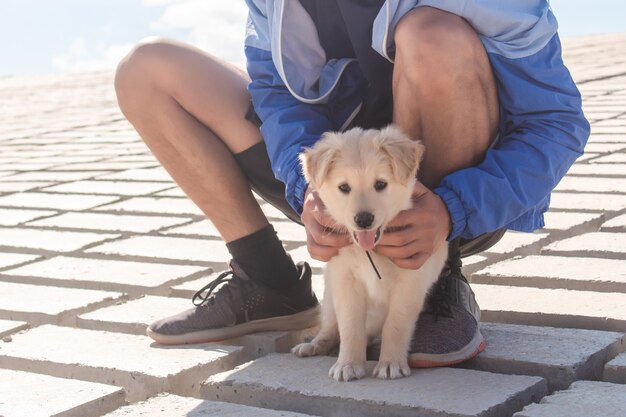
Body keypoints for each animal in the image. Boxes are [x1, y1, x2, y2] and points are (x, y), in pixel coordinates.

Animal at [290, 124, 446, 380]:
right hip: (329, 293)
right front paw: (348, 364)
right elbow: (350, 328)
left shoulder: (409, 284)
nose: (363, 220)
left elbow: (395, 325)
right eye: (344, 188)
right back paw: (314, 345)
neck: (369, 250)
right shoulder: (345, 282)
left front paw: (390, 363)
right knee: (330, 327)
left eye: (380, 184)